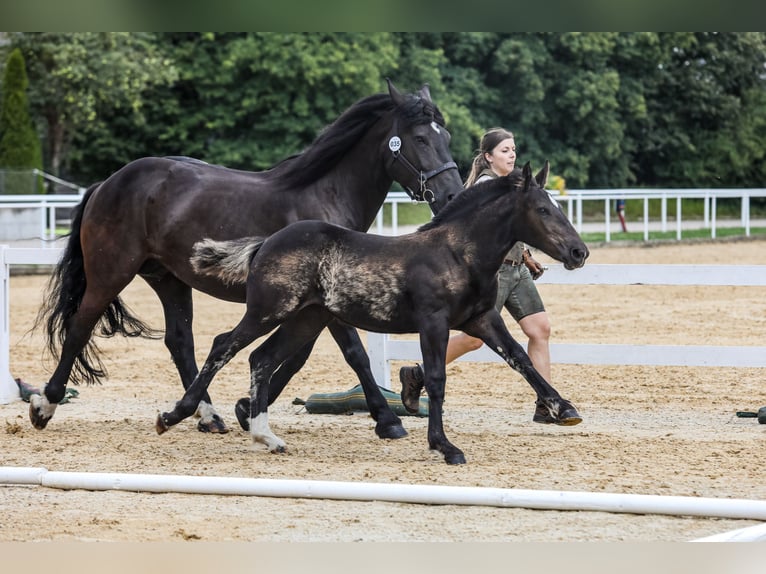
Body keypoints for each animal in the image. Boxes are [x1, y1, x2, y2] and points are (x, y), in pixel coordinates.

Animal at [156, 160, 588, 466]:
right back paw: (177, 416)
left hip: (305, 320)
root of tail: (265, 243)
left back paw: (268, 436)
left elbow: (519, 359)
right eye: (541, 209)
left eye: (558, 206)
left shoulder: (481, 320)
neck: (456, 254)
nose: (578, 252)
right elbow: (437, 380)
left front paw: (563, 408)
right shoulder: (433, 323)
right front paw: (444, 446)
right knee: (223, 346)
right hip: (269, 311)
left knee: (260, 358)